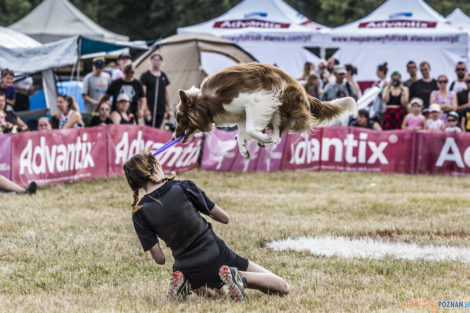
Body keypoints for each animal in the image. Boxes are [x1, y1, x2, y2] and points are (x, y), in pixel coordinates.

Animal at [174, 62, 358, 157]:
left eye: (179, 117)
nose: (174, 136)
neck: (206, 102)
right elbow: (242, 132)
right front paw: (243, 148)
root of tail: (304, 91)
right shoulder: (242, 113)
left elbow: (249, 129)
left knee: (277, 136)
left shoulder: (257, 100)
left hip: (281, 102)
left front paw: (260, 137)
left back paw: (266, 139)